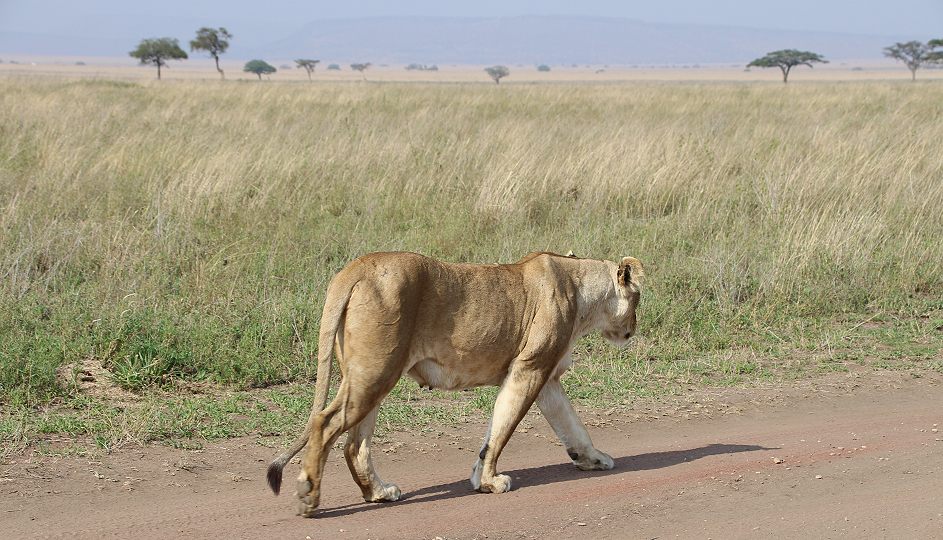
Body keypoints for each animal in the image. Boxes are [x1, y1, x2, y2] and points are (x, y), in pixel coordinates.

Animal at [270, 251, 644, 516]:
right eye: (638, 299)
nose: (633, 330)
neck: (582, 293)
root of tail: (354, 269)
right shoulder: (529, 368)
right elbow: (502, 429)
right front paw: (490, 482)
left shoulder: (547, 377)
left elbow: (571, 424)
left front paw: (592, 458)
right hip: (375, 371)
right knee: (324, 423)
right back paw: (308, 496)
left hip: (369, 373)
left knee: (354, 444)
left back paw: (378, 493)